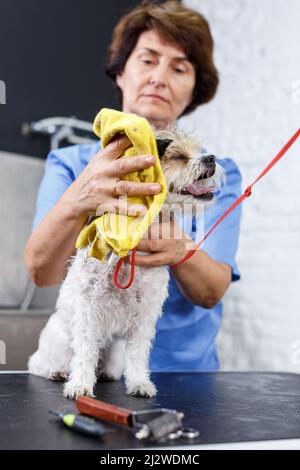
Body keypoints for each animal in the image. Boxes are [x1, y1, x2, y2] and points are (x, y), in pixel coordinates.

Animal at [28, 130, 225, 398]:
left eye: (199, 151)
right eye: (178, 156)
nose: (211, 158)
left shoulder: (145, 314)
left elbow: (139, 353)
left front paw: (139, 382)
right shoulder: (88, 308)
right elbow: (85, 350)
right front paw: (80, 384)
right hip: (57, 342)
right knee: (39, 364)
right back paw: (56, 372)